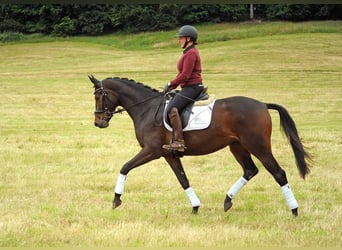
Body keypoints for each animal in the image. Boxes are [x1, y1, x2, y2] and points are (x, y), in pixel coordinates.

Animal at [87, 74, 310, 217]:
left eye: (98, 96)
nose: (98, 123)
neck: (147, 108)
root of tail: (263, 105)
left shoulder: (151, 151)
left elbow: (125, 167)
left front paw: (116, 199)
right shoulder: (169, 155)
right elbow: (183, 180)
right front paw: (195, 207)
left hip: (258, 146)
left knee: (279, 173)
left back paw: (294, 210)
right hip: (237, 146)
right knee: (250, 170)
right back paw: (227, 200)